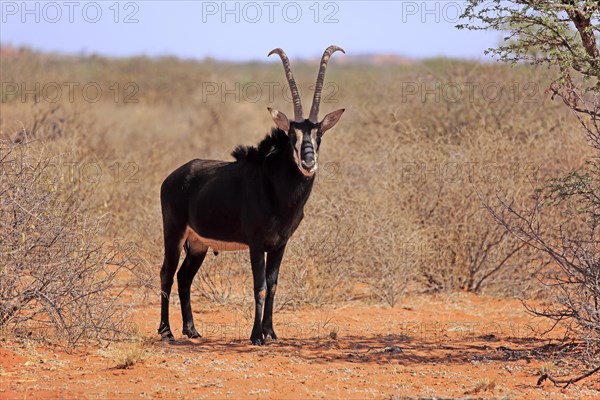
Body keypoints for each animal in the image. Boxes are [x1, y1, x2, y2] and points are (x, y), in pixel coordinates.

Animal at [158, 44, 346, 344]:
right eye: (292, 135)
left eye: (318, 134)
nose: (308, 163)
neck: (276, 188)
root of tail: (173, 177)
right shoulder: (256, 244)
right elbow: (259, 286)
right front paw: (256, 335)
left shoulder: (280, 245)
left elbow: (273, 285)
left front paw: (271, 332)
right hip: (174, 234)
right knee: (167, 272)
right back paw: (167, 331)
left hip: (198, 244)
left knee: (184, 277)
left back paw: (192, 330)